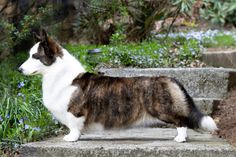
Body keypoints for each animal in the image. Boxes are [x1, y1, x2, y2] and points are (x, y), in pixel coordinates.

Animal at [18, 29, 218, 142]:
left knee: (181, 121)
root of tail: (171, 79)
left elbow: (74, 127)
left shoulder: (74, 112)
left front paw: (71, 139)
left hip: (163, 110)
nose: (19, 69)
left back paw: (180, 139)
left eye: (35, 57)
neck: (58, 75)